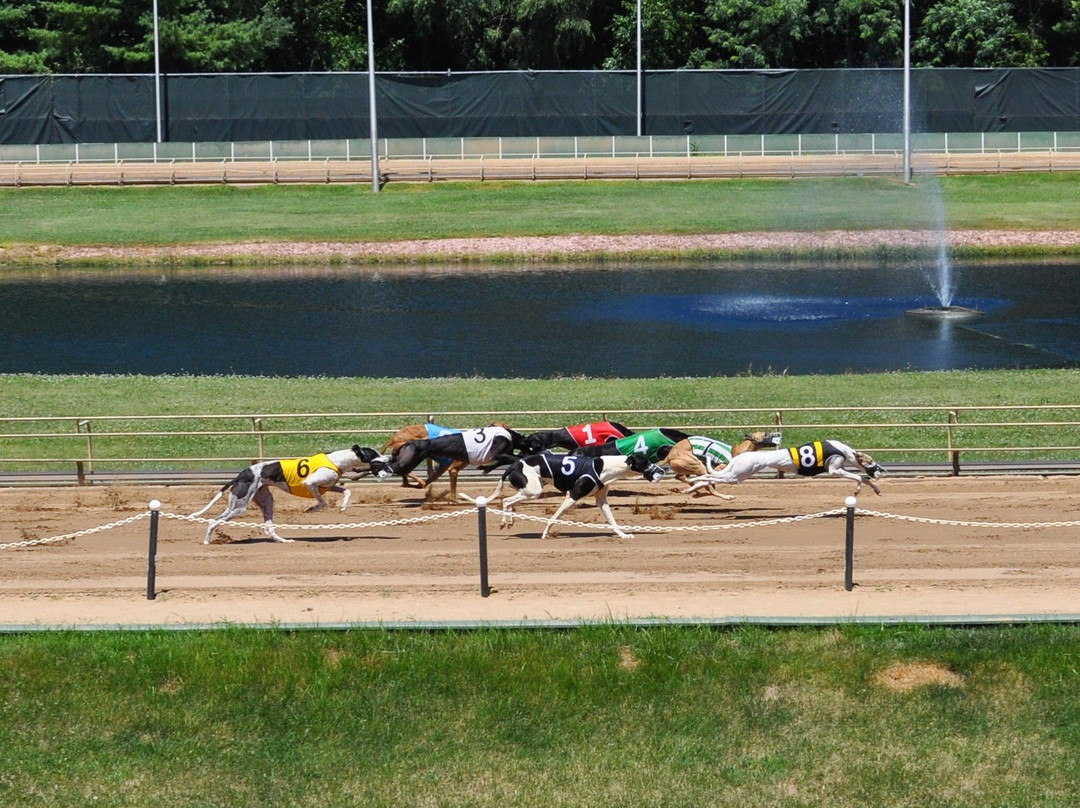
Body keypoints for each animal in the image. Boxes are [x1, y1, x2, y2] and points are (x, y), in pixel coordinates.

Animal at [192, 445, 390, 546]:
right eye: (374, 453)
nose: (389, 458)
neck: (338, 460)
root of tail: (242, 474)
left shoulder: (327, 486)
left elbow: (347, 490)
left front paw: (343, 506)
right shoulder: (310, 484)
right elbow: (322, 502)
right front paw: (312, 508)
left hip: (264, 501)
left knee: (268, 527)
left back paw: (283, 540)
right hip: (240, 506)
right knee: (213, 520)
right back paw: (207, 541)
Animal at [466, 451, 665, 540]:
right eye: (645, 462)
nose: (661, 470)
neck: (605, 466)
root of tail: (515, 464)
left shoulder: (602, 500)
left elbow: (612, 520)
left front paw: (623, 535)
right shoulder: (572, 496)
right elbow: (553, 518)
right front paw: (545, 533)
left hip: (530, 489)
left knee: (509, 501)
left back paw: (509, 521)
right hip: (534, 491)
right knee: (507, 500)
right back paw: (505, 521)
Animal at [682, 438, 885, 494]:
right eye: (871, 462)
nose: (882, 471)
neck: (845, 450)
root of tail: (741, 456)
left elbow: (865, 478)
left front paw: (876, 489)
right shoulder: (835, 469)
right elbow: (859, 477)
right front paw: (857, 490)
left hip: (735, 475)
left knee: (711, 477)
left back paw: (690, 487)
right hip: (736, 477)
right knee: (710, 476)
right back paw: (695, 480)